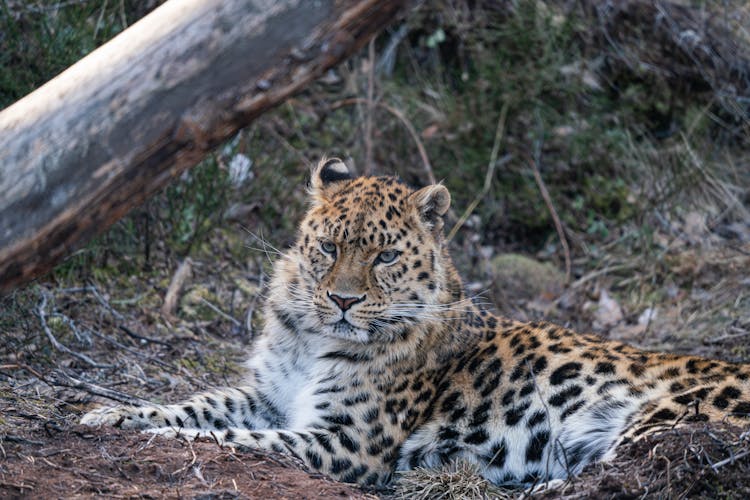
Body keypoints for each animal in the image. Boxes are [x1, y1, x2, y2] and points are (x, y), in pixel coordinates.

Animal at [82, 158, 750, 486]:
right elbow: (199, 405)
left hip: (658, 424)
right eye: (328, 247)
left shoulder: (346, 442)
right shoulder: (268, 395)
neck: (313, 340)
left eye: (384, 256)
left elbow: (231, 438)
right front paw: (112, 415)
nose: (343, 300)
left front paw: (163, 440)